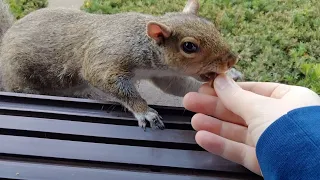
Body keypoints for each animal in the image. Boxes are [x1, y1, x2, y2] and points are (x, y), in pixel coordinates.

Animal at [0, 0, 242, 129]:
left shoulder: (163, 74)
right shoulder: (106, 57)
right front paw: (144, 111)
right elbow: (104, 78)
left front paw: (230, 76)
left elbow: (177, 86)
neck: (143, 42)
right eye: (189, 46)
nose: (232, 59)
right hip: (20, 79)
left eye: (211, 25)